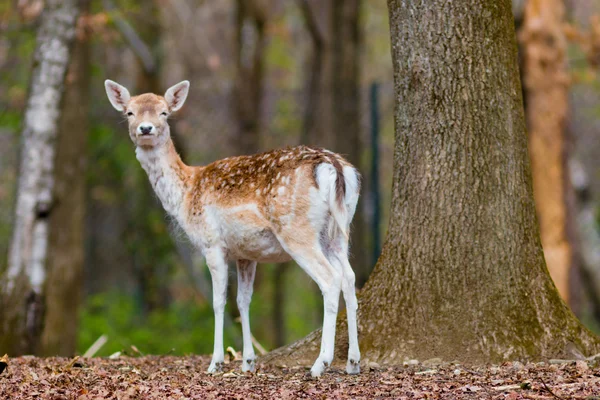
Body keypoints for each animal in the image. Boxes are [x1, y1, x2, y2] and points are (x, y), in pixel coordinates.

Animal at [104, 79, 360, 376]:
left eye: (164, 112)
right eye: (130, 113)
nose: (146, 129)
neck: (187, 193)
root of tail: (335, 167)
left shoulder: (211, 243)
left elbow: (219, 301)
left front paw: (215, 362)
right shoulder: (246, 254)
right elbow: (243, 301)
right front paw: (248, 361)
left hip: (297, 230)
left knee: (330, 280)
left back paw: (320, 364)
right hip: (339, 230)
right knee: (349, 277)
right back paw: (353, 362)